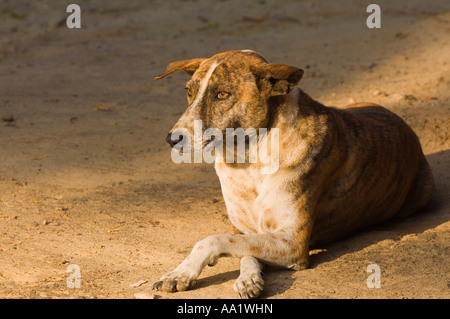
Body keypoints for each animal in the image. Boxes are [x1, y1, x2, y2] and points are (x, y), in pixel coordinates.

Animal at [152, 50, 436, 300]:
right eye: (189, 92)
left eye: (222, 94)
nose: (171, 139)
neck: (249, 162)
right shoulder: (245, 230)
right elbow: (243, 249)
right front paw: (248, 278)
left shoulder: (294, 243)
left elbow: (212, 240)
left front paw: (182, 271)